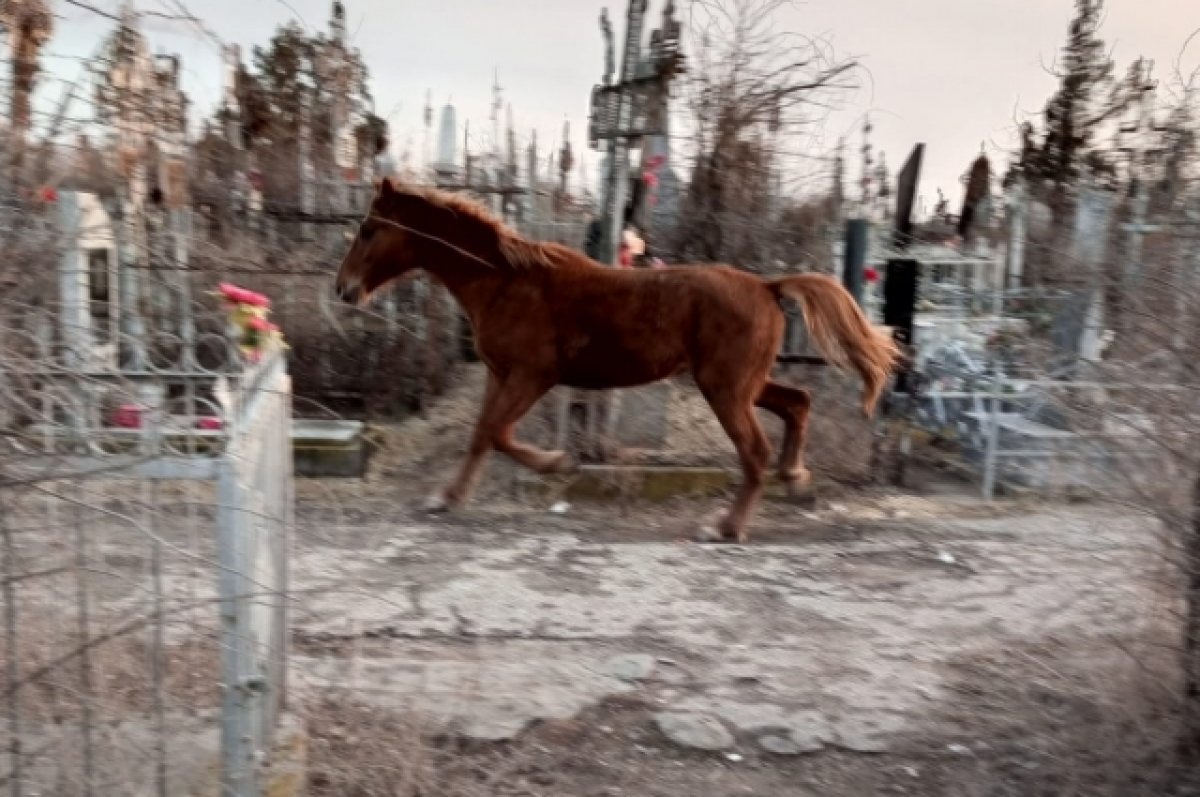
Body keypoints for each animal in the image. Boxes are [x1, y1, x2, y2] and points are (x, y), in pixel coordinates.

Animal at [333, 177, 897, 544]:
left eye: (367, 229)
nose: (343, 289)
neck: (505, 280)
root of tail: (767, 286)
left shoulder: (533, 374)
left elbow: (496, 432)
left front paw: (557, 462)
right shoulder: (501, 374)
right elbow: (482, 434)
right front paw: (447, 497)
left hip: (725, 388)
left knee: (755, 449)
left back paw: (726, 527)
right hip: (742, 384)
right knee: (798, 402)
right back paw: (794, 476)